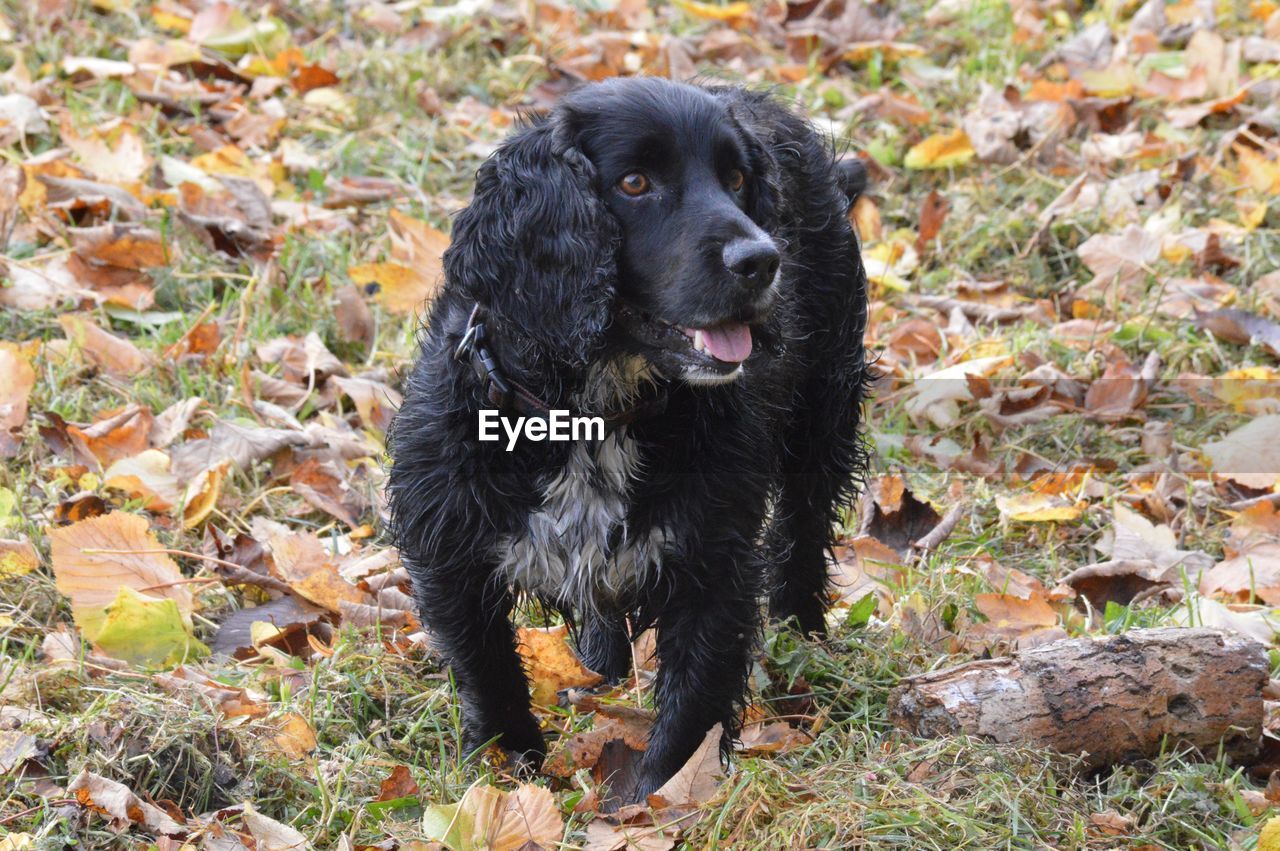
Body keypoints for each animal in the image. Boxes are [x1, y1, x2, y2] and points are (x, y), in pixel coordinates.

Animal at [389, 76, 870, 798]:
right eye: (635, 182)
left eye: (735, 178)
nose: (763, 259)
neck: (596, 408)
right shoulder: (449, 551)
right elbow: (487, 674)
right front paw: (508, 776)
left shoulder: (714, 556)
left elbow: (694, 704)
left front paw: (660, 800)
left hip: (823, 415)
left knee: (805, 531)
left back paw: (802, 633)